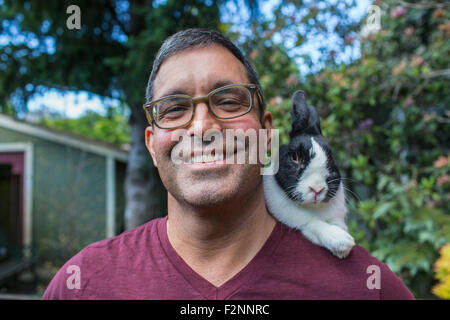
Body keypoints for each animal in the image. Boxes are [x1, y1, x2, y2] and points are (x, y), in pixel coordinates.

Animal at [264, 89, 356, 258]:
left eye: (330, 156)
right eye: (294, 157)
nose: (317, 189)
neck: (314, 207)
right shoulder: (291, 214)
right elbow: (312, 222)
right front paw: (343, 242)